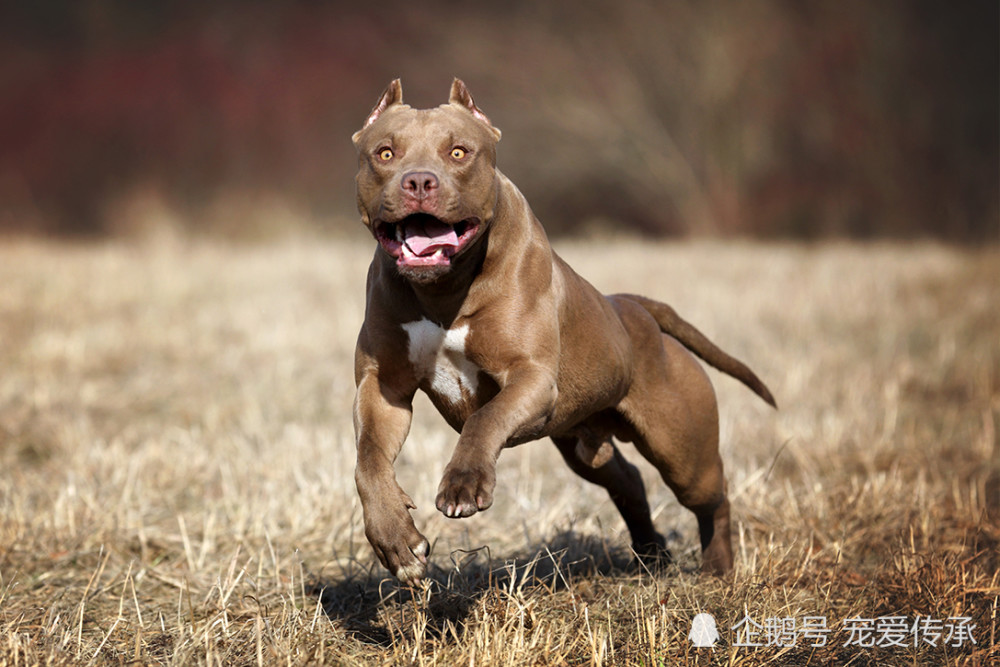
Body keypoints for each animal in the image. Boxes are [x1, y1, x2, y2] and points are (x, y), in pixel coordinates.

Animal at [356, 79, 776, 584]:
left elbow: (484, 418)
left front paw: (463, 483)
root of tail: (633, 307)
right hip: (583, 445)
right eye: (384, 153)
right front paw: (395, 539)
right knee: (628, 481)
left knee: (714, 497)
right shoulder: (383, 388)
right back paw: (651, 555)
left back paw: (718, 568)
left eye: (459, 152)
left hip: (683, 455)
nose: (418, 181)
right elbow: (368, 460)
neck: (442, 290)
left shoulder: (531, 377)